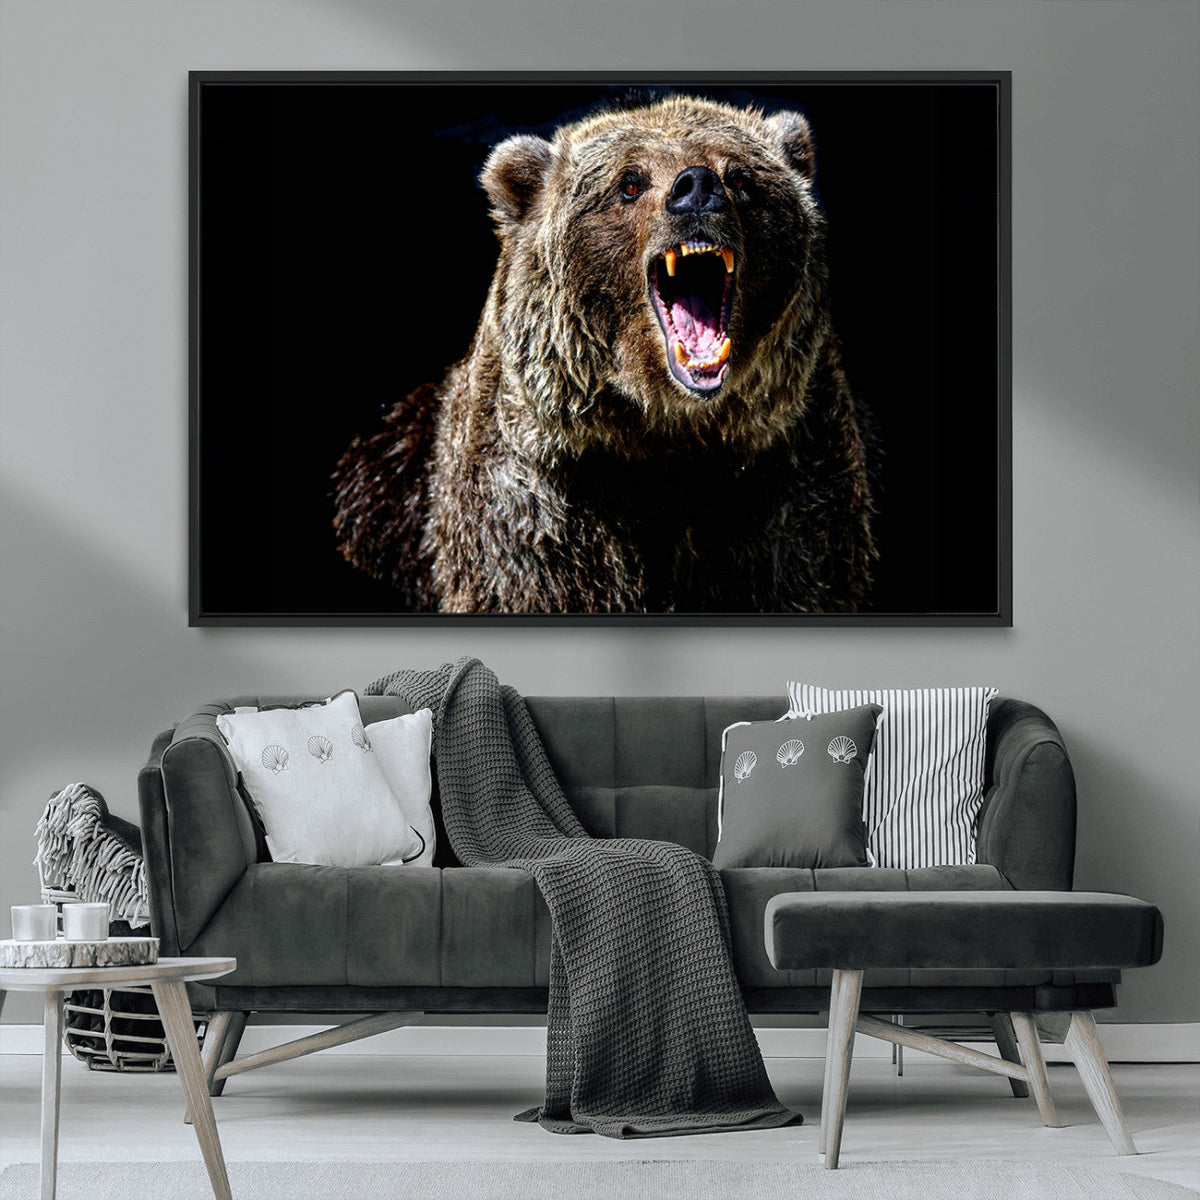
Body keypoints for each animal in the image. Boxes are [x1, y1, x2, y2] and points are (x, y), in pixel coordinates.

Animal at [332, 94, 877, 614]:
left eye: (740, 176)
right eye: (629, 183)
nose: (697, 187)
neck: (664, 435)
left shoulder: (786, 486)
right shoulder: (537, 509)